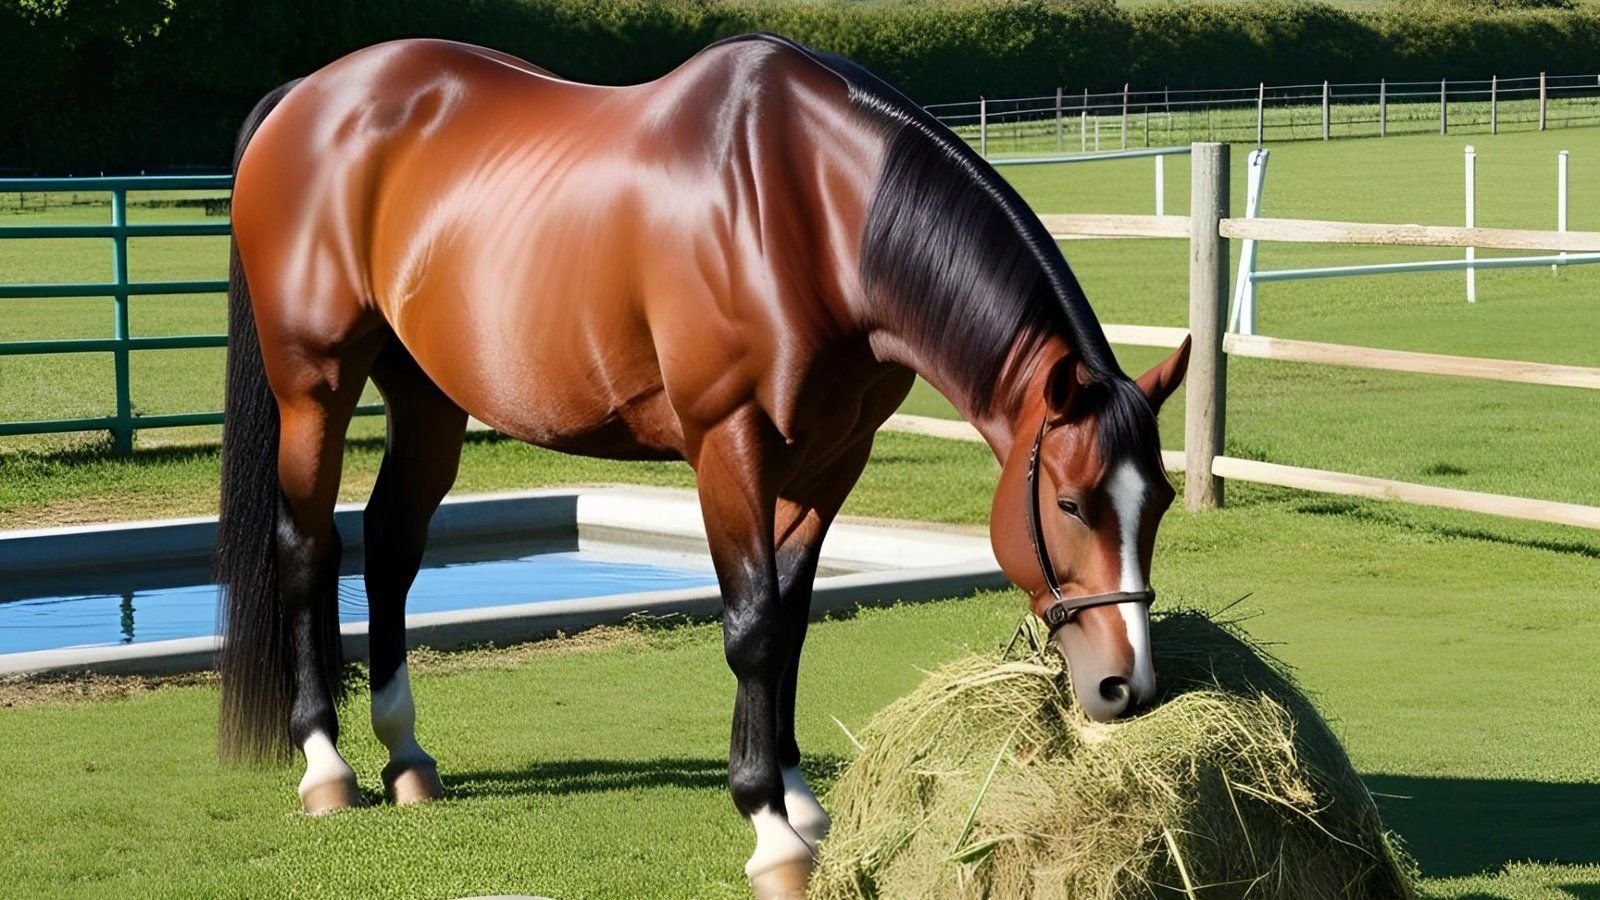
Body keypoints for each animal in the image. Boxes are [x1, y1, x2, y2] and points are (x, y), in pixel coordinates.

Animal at [214, 33, 1190, 898]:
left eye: (1161, 503)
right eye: (1069, 503)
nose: (1127, 686)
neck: (811, 210)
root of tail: (307, 97)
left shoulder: (831, 458)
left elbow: (791, 620)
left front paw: (799, 801)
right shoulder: (730, 443)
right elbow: (751, 625)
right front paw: (770, 832)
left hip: (424, 394)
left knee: (391, 546)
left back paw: (407, 756)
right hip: (315, 385)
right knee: (308, 547)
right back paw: (326, 765)